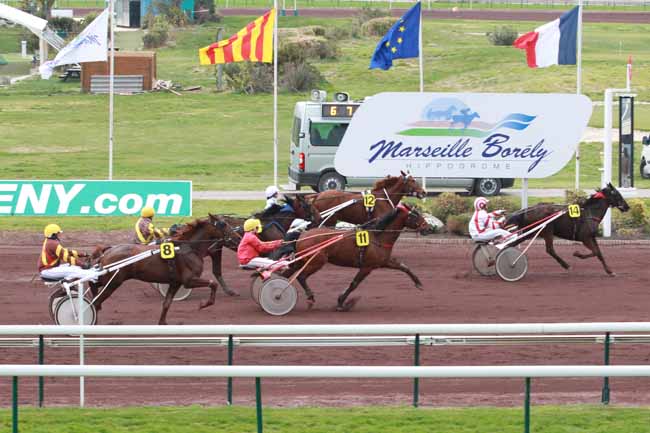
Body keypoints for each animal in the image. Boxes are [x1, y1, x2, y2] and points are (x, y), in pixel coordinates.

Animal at [90, 214, 240, 322]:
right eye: (224, 225)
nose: (238, 238)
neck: (189, 248)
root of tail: (108, 250)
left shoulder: (175, 282)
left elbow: (166, 304)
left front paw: (162, 323)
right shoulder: (189, 280)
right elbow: (213, 284)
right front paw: (203, 304)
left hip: (109, 279)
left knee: (94, 287)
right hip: (114, 281)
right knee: (96, 301)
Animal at [282, 202, 426, 310]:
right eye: (415, 215)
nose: (427, 227)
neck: (378, 237)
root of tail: (302, 235)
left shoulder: (383, 261)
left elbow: (404, 267)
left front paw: (418, 283)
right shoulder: (367, 267)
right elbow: (354, 284)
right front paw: (341, 302)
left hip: (303, 260)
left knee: (288, 273)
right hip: (316, 261)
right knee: (301, 276)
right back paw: (309, 298)